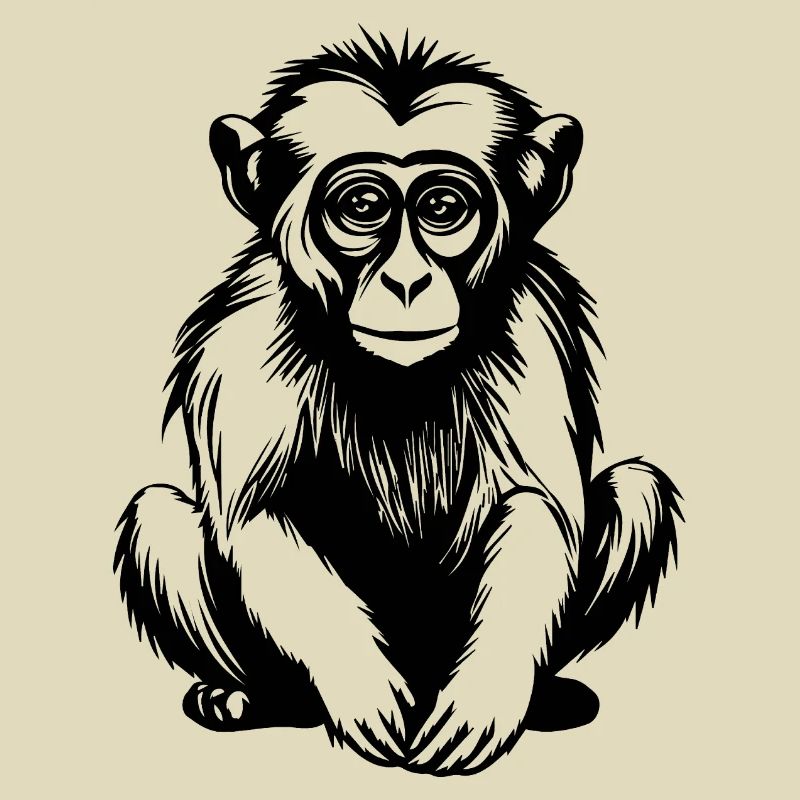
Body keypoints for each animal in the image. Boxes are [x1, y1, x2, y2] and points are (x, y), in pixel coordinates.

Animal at [114, 33, 682, 776]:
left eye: (442, 209)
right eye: (363, 206)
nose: (407, 280)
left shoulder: (532, 316)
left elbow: (539, 506)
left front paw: (486, 696)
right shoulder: (245, 331)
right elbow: (258, 512)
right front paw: (361, 685)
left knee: (637, 489)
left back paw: (548, 695)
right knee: (159, 519)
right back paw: (248, 696)